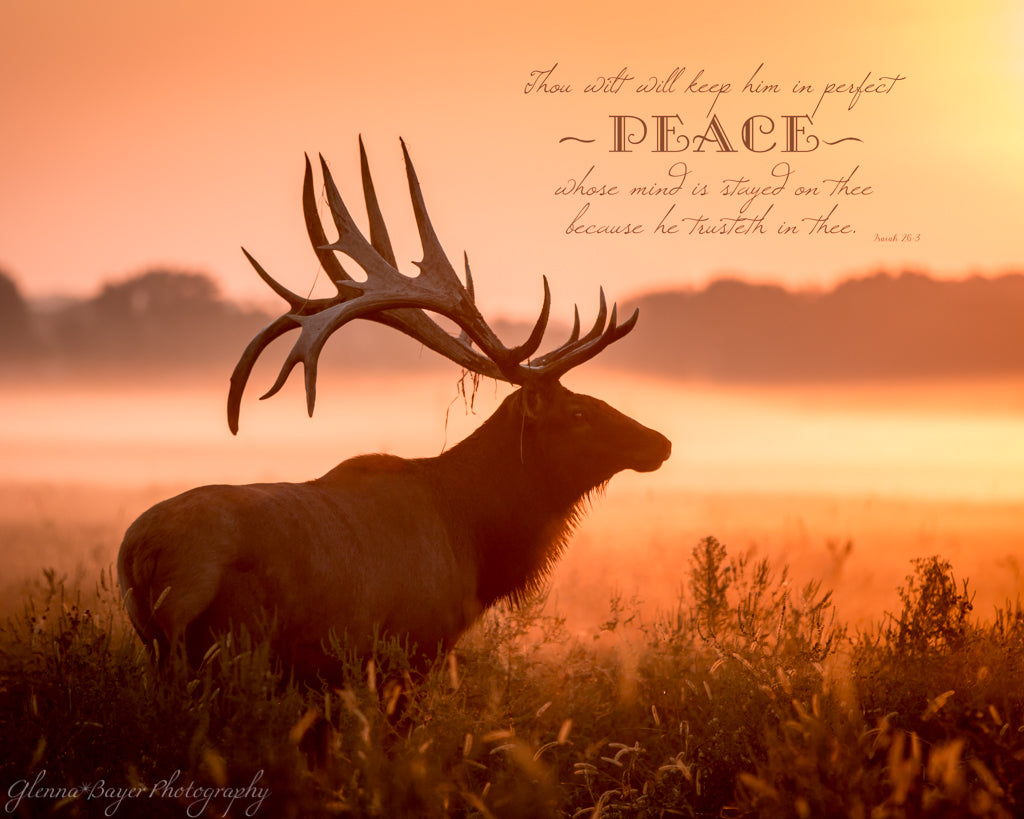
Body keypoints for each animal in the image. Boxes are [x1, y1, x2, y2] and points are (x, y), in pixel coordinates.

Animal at [117, 138, 671, 681]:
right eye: (578, 413)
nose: (660, 442)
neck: (474, 539)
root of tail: (140, 555)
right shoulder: (412, 646)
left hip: (160, 648)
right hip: (228, 646)